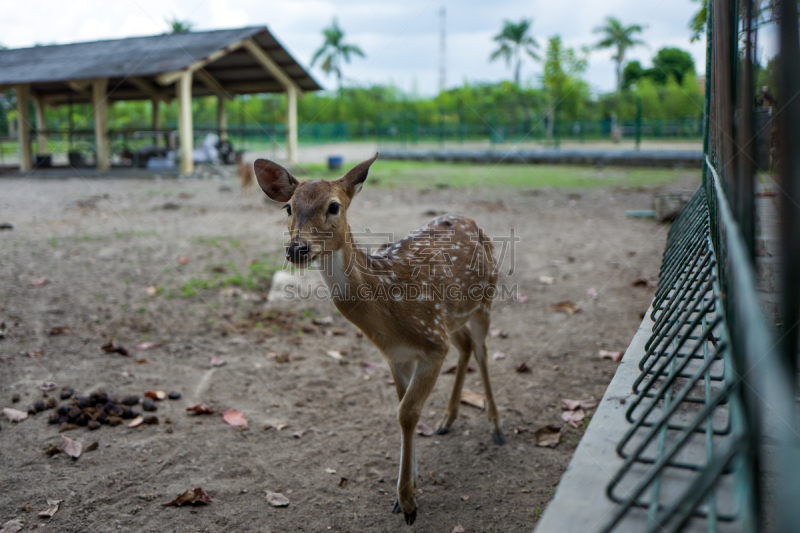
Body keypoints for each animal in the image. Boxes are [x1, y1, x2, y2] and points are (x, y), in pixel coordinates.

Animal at [253, 153, 504, 524]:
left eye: (334, 206)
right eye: (288, 206)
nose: (296, 249)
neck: (390, 307)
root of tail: (471, 219)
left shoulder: (432, 341)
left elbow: (407, 412)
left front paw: (408, 502)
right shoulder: (397, 355)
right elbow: (403, 411)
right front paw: (408, 489)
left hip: (486, 298)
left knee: (484, 349)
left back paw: (497, 428)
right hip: (454, 317)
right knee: (467, 347)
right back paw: (447, 420)